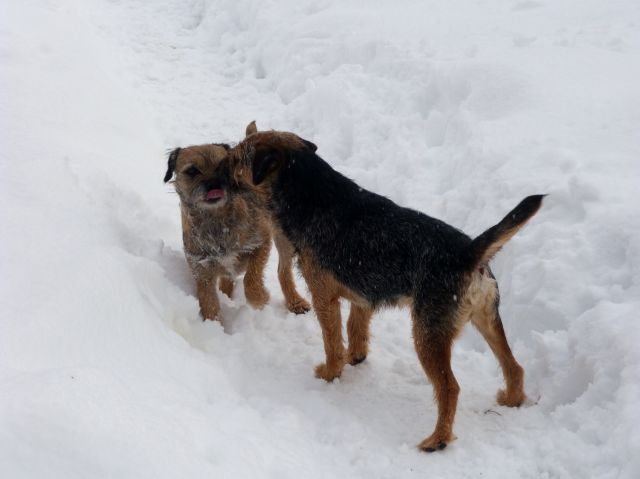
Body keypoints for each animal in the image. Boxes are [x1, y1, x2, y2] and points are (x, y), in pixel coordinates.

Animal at [164, 124, 312, 326]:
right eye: (192, 171)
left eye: (223, 166)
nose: (214, 183)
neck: (216, 220)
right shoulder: (201, 270)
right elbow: (209, 302)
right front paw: (213, 327)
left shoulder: (260, 243)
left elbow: (251, 278)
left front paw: (260, 298)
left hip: (284, 237)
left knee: (283, 269)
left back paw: (295, 302)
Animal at [232, 132, 544, 454]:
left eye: (238, 157)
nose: (226, 159)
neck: (311, 190)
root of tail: (469, 253)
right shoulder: (363, 294)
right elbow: (355, 328)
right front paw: (355, 357)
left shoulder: (323, 296)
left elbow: (332, 340)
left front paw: (331, 372)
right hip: (487, 319)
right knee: (514, 366)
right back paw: (512, 399)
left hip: (428, 335)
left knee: (450, 388)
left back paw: (438, 439)